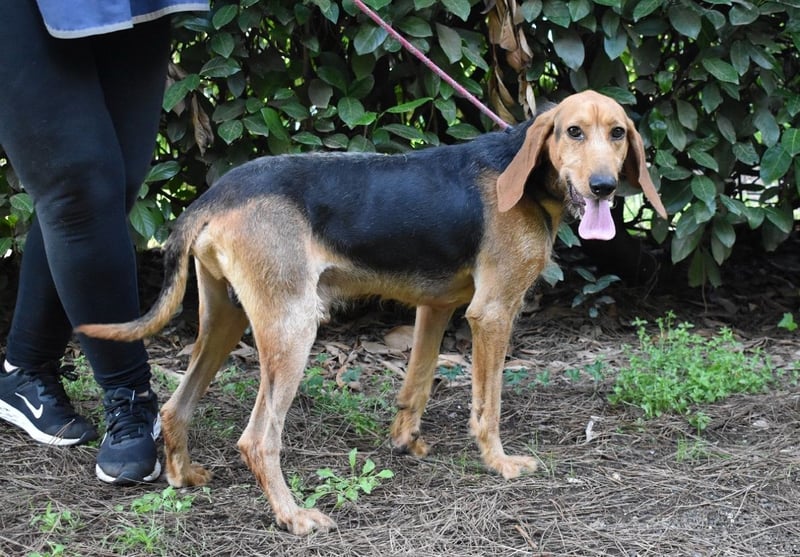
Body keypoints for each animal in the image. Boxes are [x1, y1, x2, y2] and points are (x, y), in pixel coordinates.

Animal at [78, 90, 667, 535]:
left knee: (175, 407)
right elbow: (489, 405)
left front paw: (406, 442)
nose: (603, 187)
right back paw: (293, 517)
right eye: (573, 132)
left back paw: (183, 477)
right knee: (258, 439)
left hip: (226, 322)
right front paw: (499, 463)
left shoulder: (436, 307)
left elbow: (418, 384)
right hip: (293, 330)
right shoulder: (493, 313)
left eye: (618, 134)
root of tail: (215, 193)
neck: (524, 175)